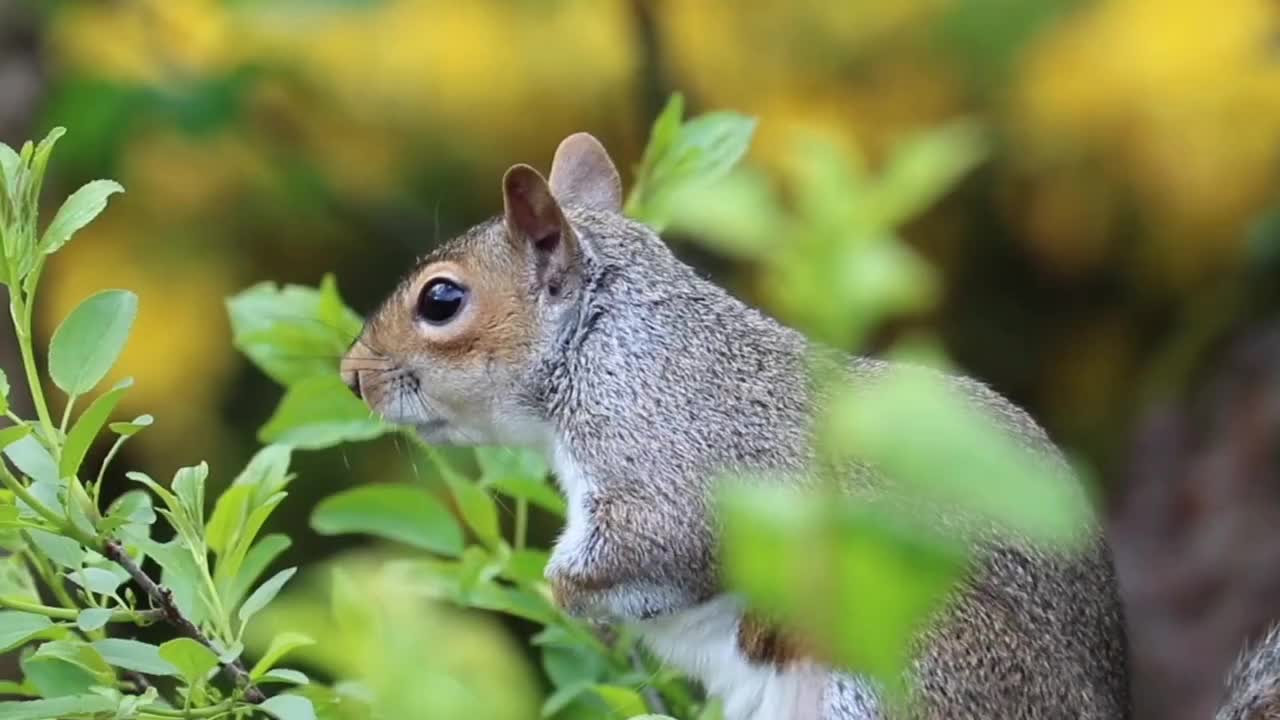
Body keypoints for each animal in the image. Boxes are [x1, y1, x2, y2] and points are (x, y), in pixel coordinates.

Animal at [340, 131, 1280, 712]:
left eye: (442, 300)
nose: (351, 375)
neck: (605, 342)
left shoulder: (661, 452)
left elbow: (653, 548)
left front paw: (567, 597)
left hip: (908, 649)